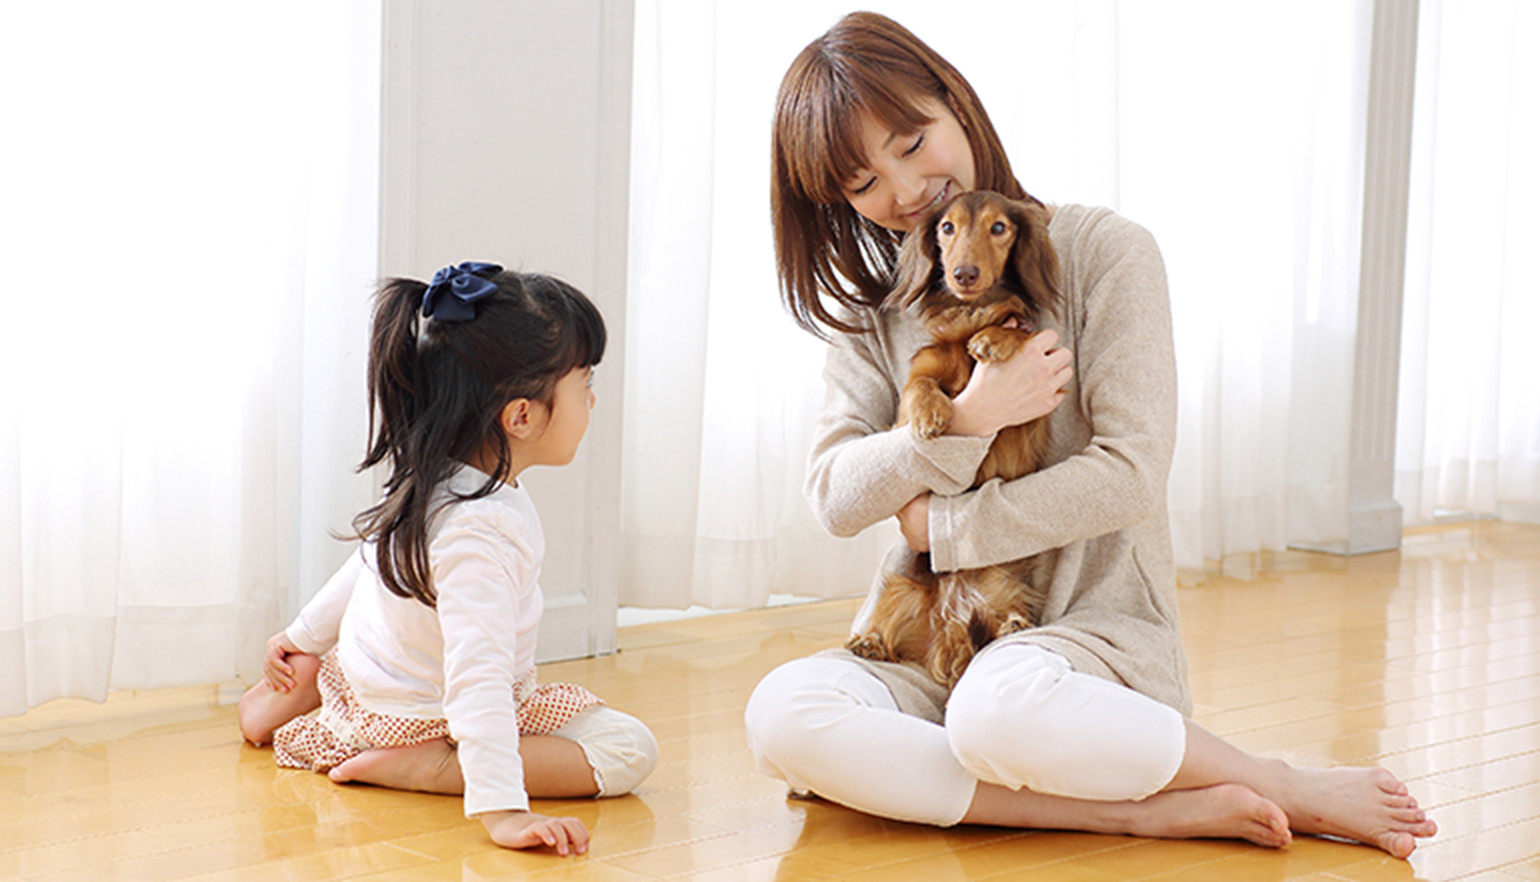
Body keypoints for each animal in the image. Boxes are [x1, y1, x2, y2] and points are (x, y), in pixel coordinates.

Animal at [845, 191, 1063, 687]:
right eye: (947, 227)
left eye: (999, 227)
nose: (964, 274)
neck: (969, 315)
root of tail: (951, 624)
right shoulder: (919, 376)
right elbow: (918, 389)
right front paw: (931, 415)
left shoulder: (1026, 422)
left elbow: (1015, 334)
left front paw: (995, 339)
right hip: (901, 590)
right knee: (888, 627)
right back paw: (870, 642)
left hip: (1001, 586)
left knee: (1004, 618)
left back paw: (1013, 623)